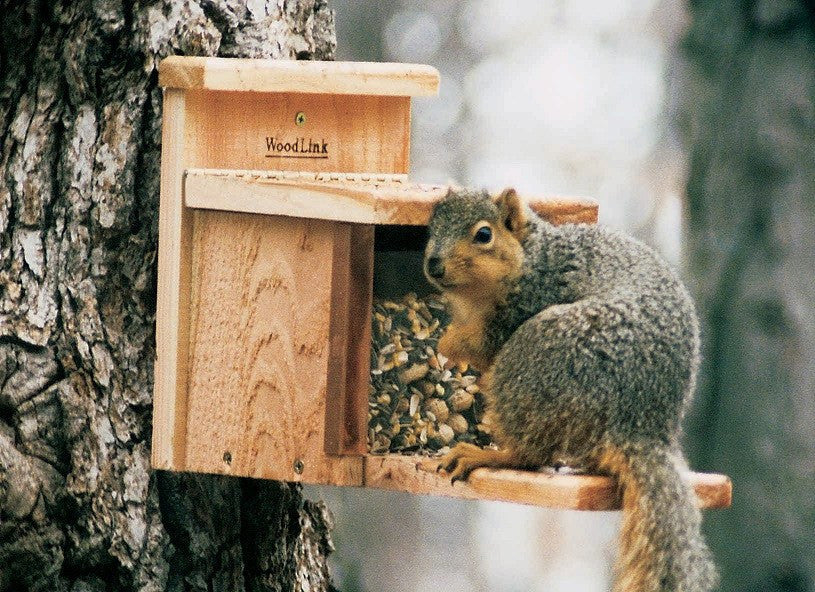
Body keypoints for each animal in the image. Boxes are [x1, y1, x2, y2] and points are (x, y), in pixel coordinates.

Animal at [423, 187, 718, 592]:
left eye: (483, 234)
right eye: (430, 228)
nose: (433, 265)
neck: (532, 256)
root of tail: (641, 423)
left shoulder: (526, 302)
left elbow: (480, 346)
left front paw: (447, 342)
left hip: (537, 354)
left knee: (530, 454)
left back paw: (486, 455)